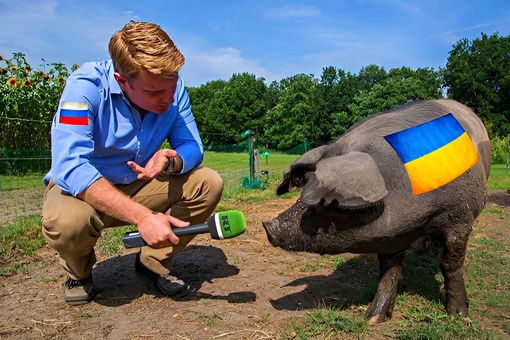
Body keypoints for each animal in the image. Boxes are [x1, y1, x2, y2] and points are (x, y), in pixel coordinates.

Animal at [262, 99, 490, 324]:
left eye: (327, 202)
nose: (268, 226)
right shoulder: (392, 237)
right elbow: (388, 273)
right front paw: (371, 319)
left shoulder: (460, 219)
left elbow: (450, 265)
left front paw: (458, 317)